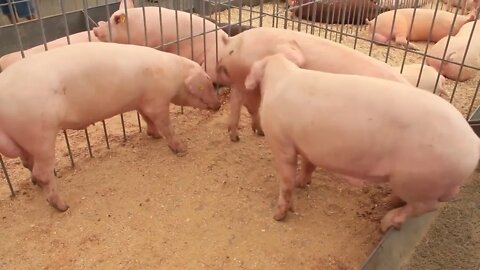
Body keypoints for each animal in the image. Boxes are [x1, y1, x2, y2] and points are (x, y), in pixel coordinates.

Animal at [0, 41, 221, 211]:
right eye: (209, 82)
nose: (219, 105)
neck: (174, 75)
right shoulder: (156, 100)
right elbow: (165, 124)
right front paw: (181, 148)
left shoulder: (141, 102)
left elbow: (147, 119)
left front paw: (154, 135)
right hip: (40, 134)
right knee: (41, 172)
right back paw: (63, 206)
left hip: (26, 140)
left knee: (28, 164)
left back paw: (37, 185)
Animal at [244, 52, 480, 232]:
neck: (282, 76)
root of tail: (473, 143)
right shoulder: (309, 147)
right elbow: (309, 165)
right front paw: (303, 183)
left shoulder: (280, 141)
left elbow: (286, 180)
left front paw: (277, 216)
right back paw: (386, 203)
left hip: (419, 179)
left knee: (427, 207)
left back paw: (385, 223)